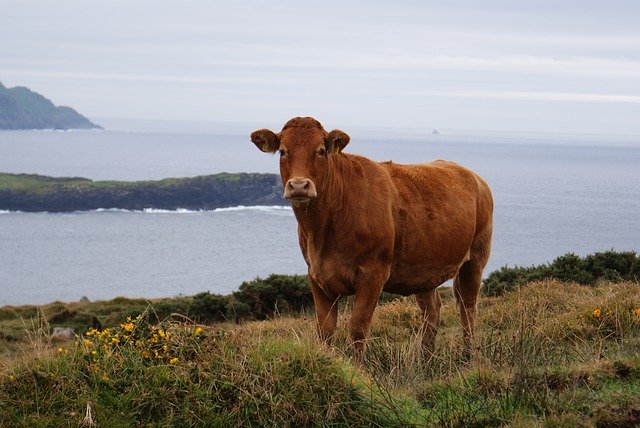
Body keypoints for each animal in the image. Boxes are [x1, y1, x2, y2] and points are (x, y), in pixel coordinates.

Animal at [252, 117, 492, 362]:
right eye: (282, 151)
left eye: (321, 150)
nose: (299, 185)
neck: (322, 233)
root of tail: (472, 175)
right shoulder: (316, 275)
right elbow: (325, 331)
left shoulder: (373, 274)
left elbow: (358, 328)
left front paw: (358, 369)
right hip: (425, 269)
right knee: (432, 310)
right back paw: (425, 359)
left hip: (476, 258)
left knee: (467, 308)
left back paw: (467, 355)